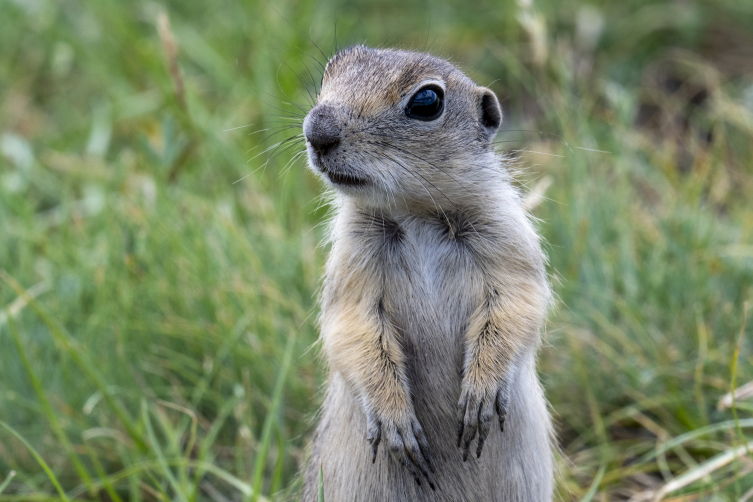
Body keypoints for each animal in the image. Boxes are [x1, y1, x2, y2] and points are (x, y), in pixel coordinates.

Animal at [298, 45, 552, 500]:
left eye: (427, 101)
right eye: (331, 70)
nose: (317, 130)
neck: (416, 214)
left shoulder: (508, 238)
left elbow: (517, 305)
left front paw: (479, 396)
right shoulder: (351, 261)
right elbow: (352, 327)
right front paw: (397, 423)